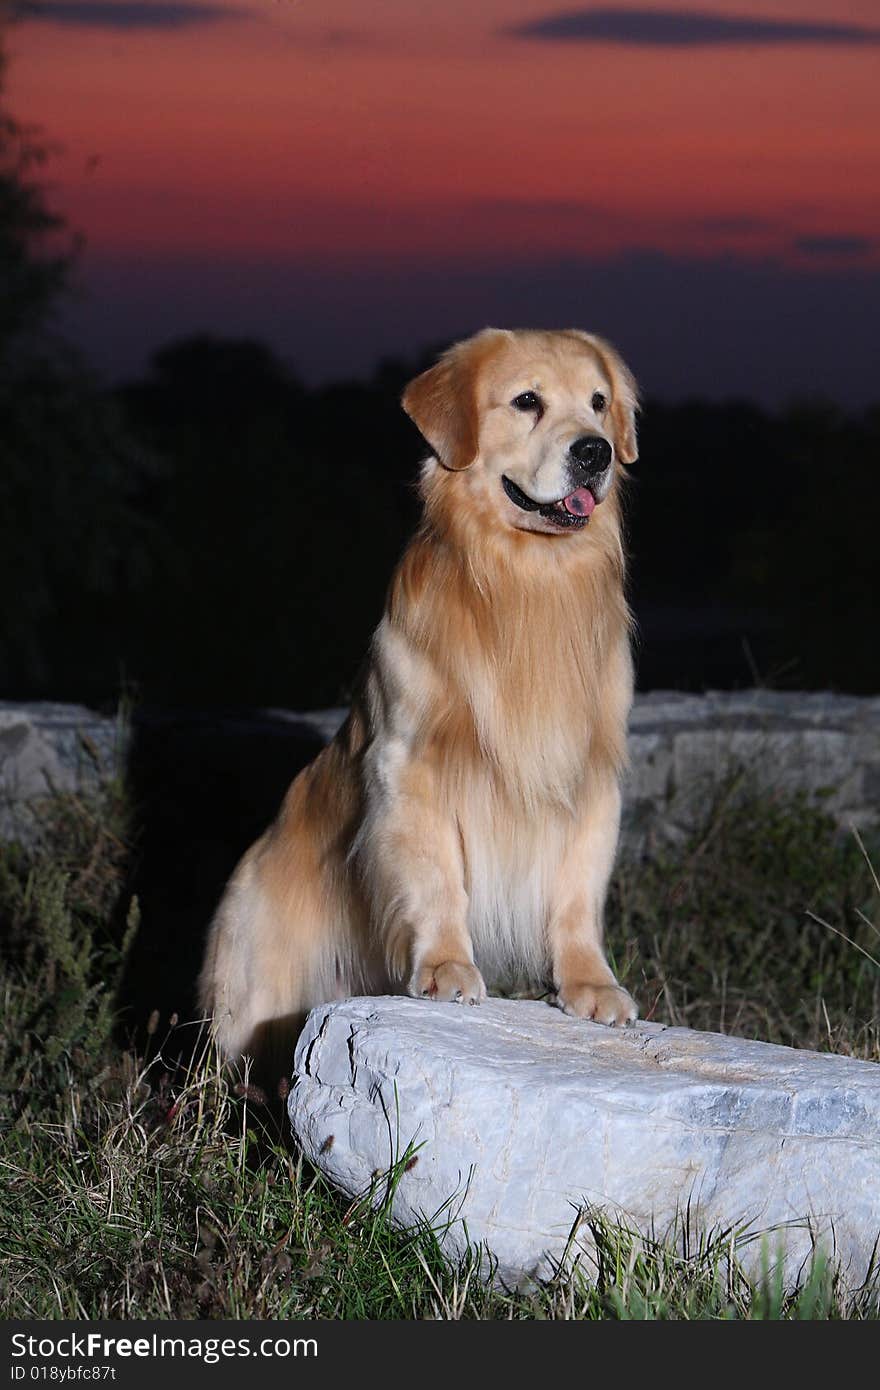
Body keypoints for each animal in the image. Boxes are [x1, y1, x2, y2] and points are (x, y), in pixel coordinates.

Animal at [198, 328, 639, 1073]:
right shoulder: (411, 764)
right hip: (248, 994)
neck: (527, 581)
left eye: (599, 404)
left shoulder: (591, 776)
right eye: (528, 401)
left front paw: (589, 984)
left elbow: (577, 892)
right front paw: (446, 968)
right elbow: (439, 882)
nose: (595, 452)